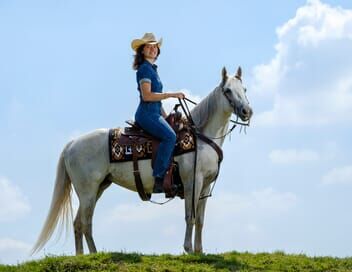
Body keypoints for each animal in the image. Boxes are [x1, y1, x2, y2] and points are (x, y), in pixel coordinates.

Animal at [31, 66, 253, 255]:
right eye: (228, 90)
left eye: (244, 89)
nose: (246, 112)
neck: (200, 136)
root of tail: (72, 144)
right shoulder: (193, 181)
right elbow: (190, 216)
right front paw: (189, 250)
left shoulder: (205, 185)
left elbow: (200, 220)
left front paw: (200, 251)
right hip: (87, 191)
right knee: (85, 223)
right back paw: (91, 255)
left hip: (98, 188)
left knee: (80, 223)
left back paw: (85, 256)